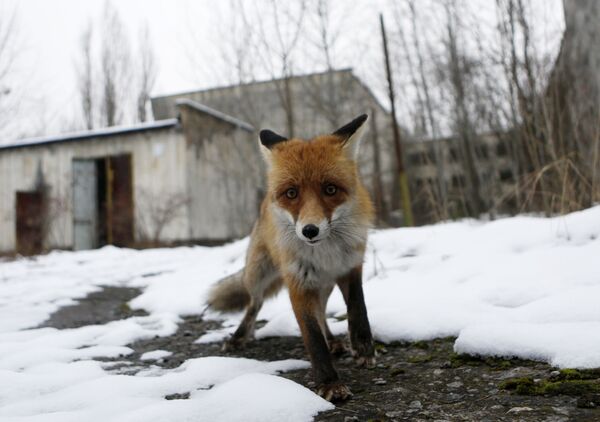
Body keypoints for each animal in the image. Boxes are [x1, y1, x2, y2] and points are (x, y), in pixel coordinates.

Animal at [209, 115, 372, 402]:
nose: (310, 230)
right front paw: (329, 382)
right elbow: (312, 337)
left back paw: (334, 341)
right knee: (254, 305)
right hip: (257, 275)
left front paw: (363, 347)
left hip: (324, 286)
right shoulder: (297, 282)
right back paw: (239, 337)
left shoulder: (350, 266)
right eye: (292, 193)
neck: (326, 254)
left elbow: (357, 307)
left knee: (322, 313)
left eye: (330, 189)